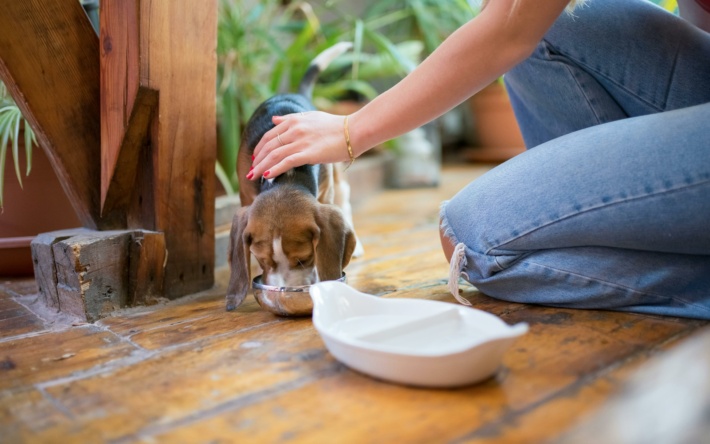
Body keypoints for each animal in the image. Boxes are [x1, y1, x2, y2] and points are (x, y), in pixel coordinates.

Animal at [227, 41, 364, 312]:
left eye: (304, 258)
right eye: (261, 260)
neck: (287, 175)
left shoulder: (325, 194)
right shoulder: (246, 195)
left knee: (344, 200)